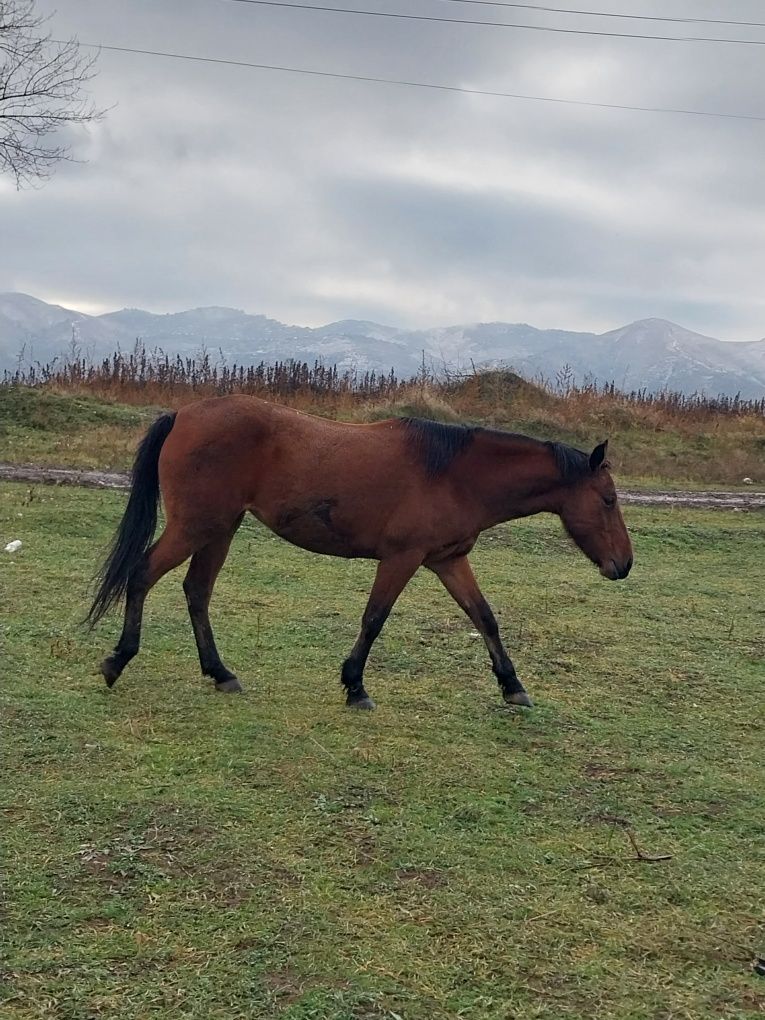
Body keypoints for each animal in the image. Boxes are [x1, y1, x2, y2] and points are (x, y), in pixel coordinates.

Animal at [88, 395, 636, 709]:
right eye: (608, 500)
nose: (624, 565)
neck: (455, 474)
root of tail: (183, 414)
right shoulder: (402, 559)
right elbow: (374, 619)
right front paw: (355, 687)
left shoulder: (448, 560)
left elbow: (485, 618)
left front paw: (512, 685)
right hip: (195, 527)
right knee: (142, 575)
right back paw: (118, 659)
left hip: (219, 530)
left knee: (197, 592)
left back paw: (221, 674)